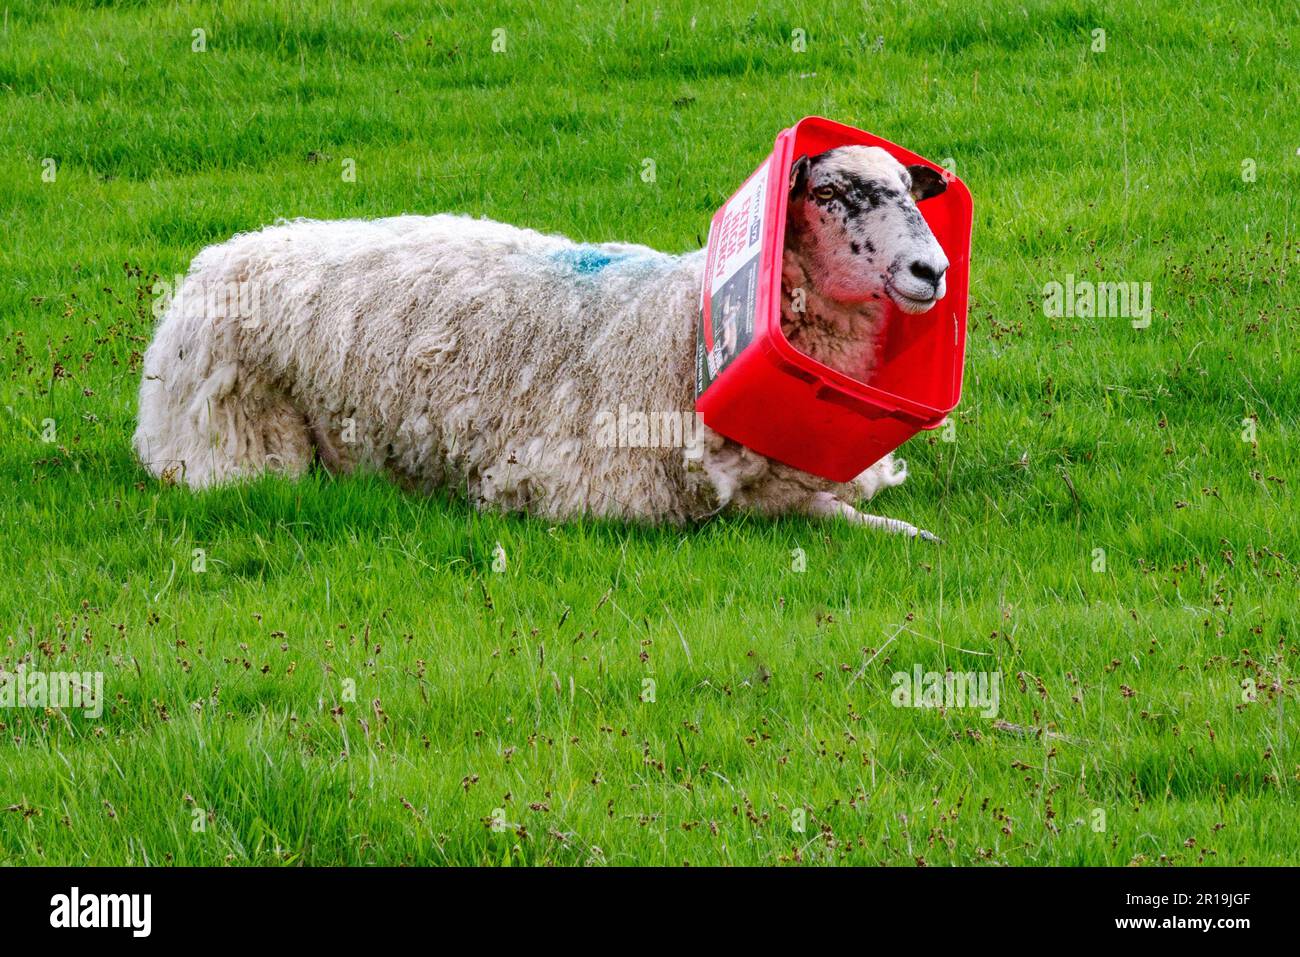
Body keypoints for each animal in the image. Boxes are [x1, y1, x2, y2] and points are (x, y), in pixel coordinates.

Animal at [134, 145, 950, 538]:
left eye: (909, 191)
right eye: (831, 193)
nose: (933, 270)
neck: (683, 328)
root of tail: (216, 260)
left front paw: (906, 530)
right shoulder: (599, 490)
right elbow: (816, 515)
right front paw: (907, 536)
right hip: (244, 441)